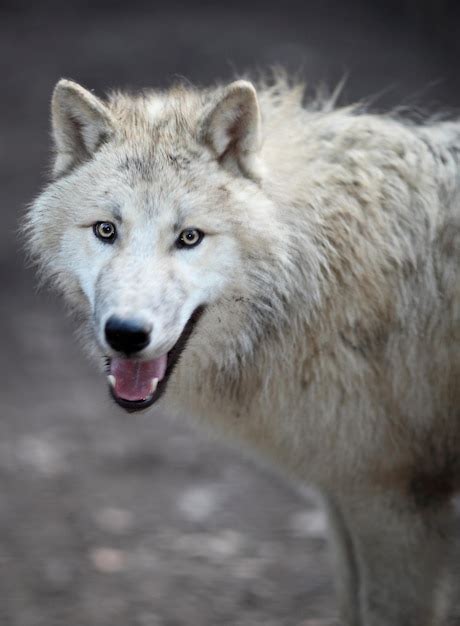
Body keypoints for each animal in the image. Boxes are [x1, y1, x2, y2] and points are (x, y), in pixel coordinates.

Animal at [27, 74, 460, 624]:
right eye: (106, 229)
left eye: (189, 237)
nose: (125, 332)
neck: (316, 271)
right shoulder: (345, 494)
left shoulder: (397, 501)